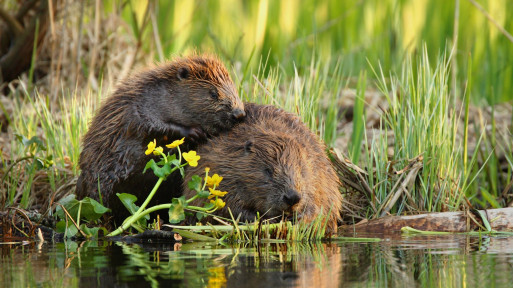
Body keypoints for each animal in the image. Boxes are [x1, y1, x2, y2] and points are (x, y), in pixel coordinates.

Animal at [75, 54, 245, 225]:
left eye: (234, 88)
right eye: (213, 93)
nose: (239, 114)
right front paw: (195, 132)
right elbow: (150, 125)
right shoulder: (139, 105)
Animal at [182, 103, 342, 232]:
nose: (292, 197)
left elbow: (322, 203)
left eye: (302, 171)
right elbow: (228, 206)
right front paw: (266, 219)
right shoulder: (219, 164)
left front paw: (300, 217)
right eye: (268, 171)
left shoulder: (319, 170)